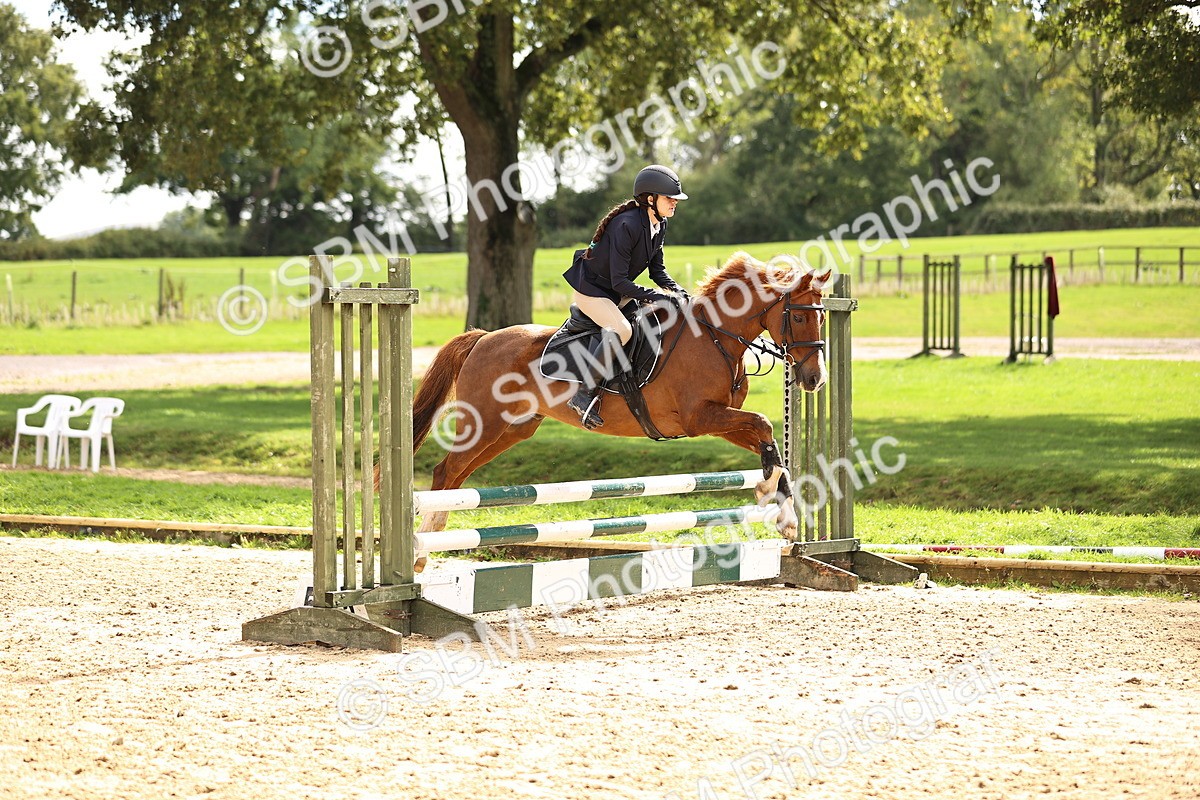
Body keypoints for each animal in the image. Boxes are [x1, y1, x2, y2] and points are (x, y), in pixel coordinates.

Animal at [405, 252, 830, 564]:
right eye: (798, 315)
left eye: (823, 315)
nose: (814, 380)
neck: (715, 337)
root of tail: (482, 338)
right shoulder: (700, 418)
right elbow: (763, 424)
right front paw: (771, 496)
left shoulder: (718, 423)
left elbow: (767, 438)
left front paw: (783, 513)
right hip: (486, 423)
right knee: (446, 471)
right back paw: (421, 554)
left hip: (514, 428)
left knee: (457, 476)